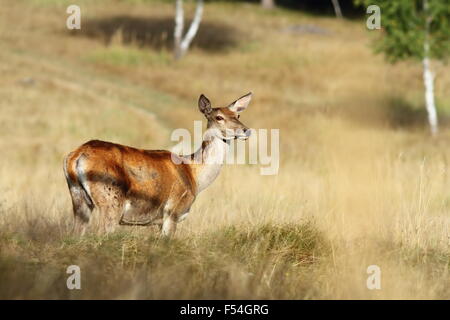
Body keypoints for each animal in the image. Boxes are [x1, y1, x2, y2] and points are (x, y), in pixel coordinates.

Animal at [63, 92, 253, 238]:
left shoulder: (158, 222)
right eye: (219, 117)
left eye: (238, 115)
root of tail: (76, 156)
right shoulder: (173, 211)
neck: (195, 175)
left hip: (78, 198)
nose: (246, 130)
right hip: (111, 200)